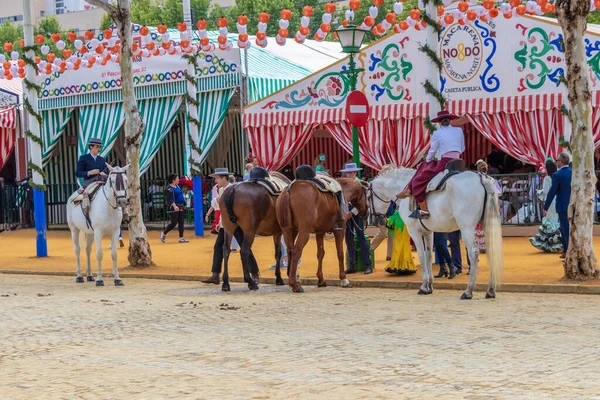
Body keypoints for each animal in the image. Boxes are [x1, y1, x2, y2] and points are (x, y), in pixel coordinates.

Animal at [368, 167, 504, 298]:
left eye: (368, 197)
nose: (375, 220)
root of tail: (481, 178)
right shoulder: (428, 232)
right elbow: (428, 255)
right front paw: (429, 285)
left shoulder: (414, 231)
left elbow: (422, 255)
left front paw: (424, 286)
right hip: (487, 224)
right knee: (492, 250)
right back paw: (491, 290)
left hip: (466, 228)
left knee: (473, 253)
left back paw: (468, 291)